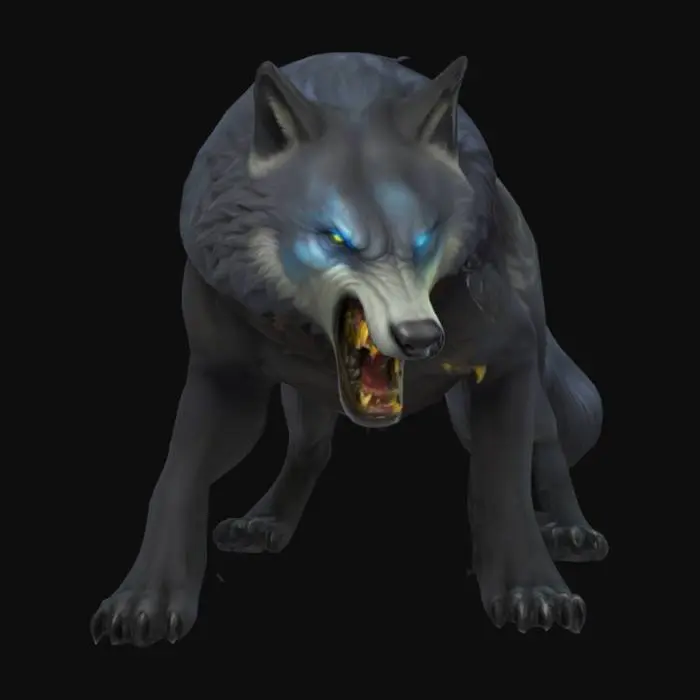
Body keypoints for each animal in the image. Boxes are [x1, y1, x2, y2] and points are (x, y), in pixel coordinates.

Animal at [91, 53, 607, 646]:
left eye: (425, 240)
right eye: (337, 239)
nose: (422, 337)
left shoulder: (508, 359)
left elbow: (504, 488)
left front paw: (531, 588)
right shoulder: (223, 378)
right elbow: (175, 479)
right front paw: (145, 598)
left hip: (521, 385)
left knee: (548, 450)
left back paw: (569, 529)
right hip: (307, 400)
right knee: (310, 449)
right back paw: (267, 520)